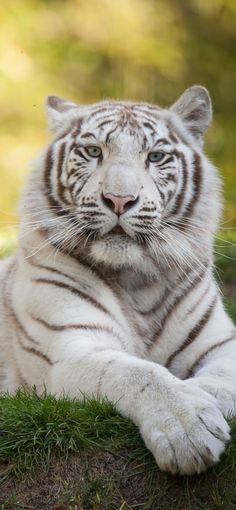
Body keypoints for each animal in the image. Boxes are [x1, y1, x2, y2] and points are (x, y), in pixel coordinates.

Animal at [0, 86, 236, 474]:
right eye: (94, 151)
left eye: (155, 156)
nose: (119, 200)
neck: (136, 282)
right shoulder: (70, 349)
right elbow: (139, 373)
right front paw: (187, 426)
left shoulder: (219, 343)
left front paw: (209, 396)